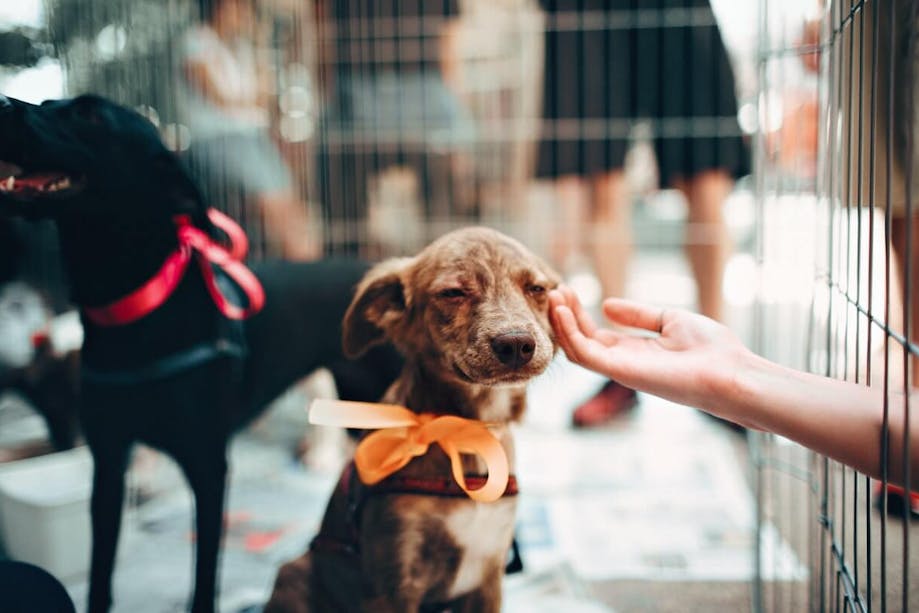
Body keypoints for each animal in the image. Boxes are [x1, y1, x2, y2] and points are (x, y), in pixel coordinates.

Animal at [0, 93, 402, 608]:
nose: (1, 104)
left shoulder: (208, 467)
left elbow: (205, 578)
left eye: (88, 113)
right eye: (50, 101)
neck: (135, 310)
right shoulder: (108, 465)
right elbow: (101, 574)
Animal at [266, 227, 560, 608]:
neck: (466, 432)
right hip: (295, 572)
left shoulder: (488, 576)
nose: (516, 345)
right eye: (453, 293)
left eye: (536, 289)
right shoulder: (394, 579)